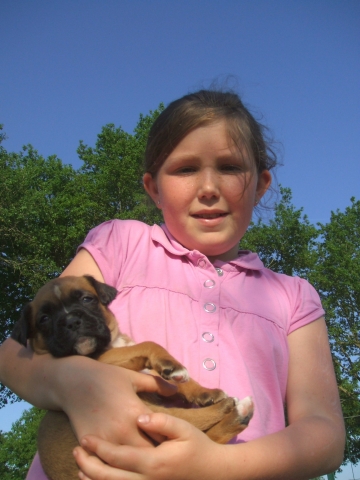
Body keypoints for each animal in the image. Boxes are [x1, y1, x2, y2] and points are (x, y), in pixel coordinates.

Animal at [11, 276, 253, 480]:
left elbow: (174, 380)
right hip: (149, 413)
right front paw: (170, 366)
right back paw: (233, 410)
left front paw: (203, 391)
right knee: (189, 421)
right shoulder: (104, 361)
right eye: (44, 319)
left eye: (87, 299)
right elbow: (147, 344)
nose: (70, 321)